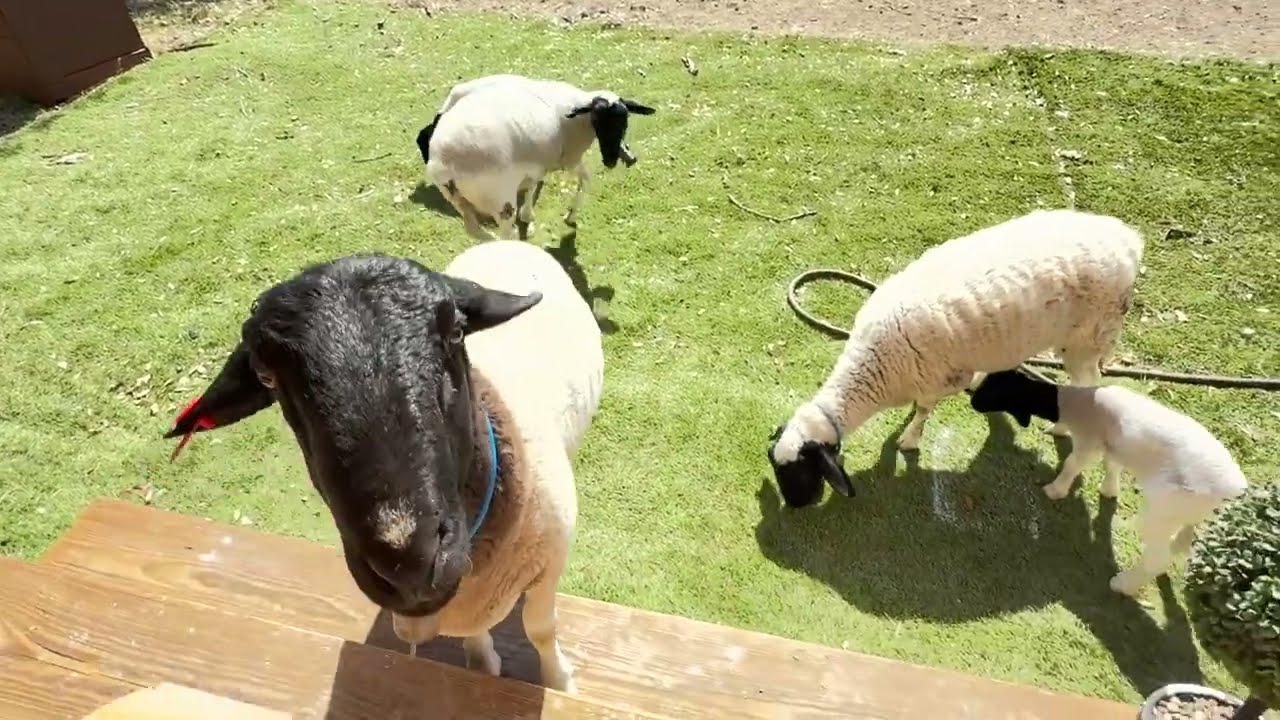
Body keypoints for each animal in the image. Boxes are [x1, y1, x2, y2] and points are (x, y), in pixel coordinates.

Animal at [164, 240, 604, 693]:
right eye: (267, 377)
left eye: (456, 332)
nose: (410, 563)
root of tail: (503, 241)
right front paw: (483, 664)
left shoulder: (549, 565)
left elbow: (540, 629)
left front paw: (560, 683)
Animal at [414, 73, 656, 240]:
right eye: (599, 119)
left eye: (624, 121)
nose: (613, 159)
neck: (577, 117)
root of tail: (447, 158)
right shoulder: (568, 159)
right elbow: (586, 178)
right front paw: (571, 216)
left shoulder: (535, 161)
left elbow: (532, 185)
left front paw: (528, 215)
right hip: (499, 197)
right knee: (505, 232)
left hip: (457, 198)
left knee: (473, 230)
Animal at [765, 208, 1146, 509]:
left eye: (800, 470)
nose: (796, 506)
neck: (874, 367)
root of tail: (1128, 238)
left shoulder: (937, 376)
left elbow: (923, 411)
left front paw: (909, 439)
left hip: (1089, 337)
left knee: (1091, 387)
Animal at [969, 369, 1249, 596]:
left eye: (992, 389)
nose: (971, 401)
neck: (1071, 402)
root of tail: (1232, 486)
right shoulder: (1113, 446)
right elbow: (1112, 466)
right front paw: (1109, 490)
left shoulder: (1090, 441)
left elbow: (1073, 464)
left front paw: (1055, 490)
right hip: (1189, 513)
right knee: (1178, 544)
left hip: (1165, 509)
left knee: (1158, 555)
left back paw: (1122, 585)